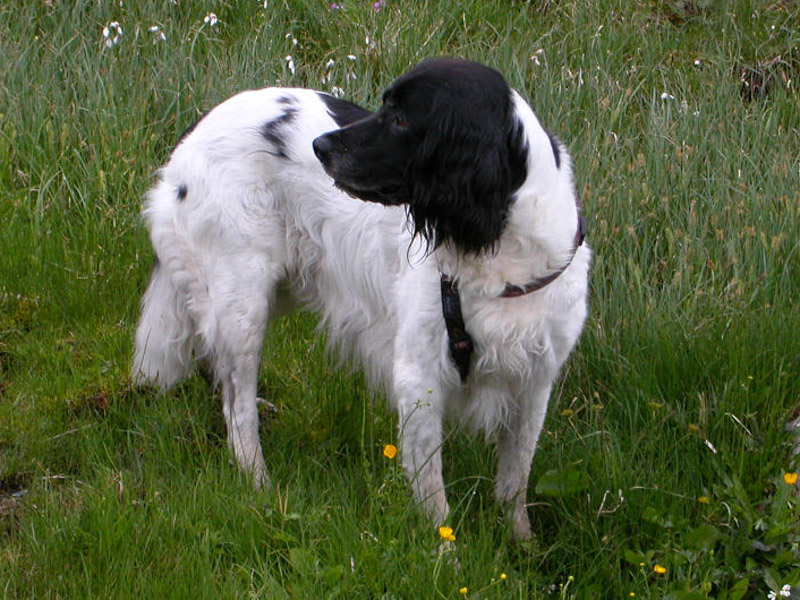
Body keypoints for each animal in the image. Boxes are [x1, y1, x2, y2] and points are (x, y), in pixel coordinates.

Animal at [134, 59, 592, 540]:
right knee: (237, 408)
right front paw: (444, 553)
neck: (501, 252)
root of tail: (190, 138)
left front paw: (521, 545)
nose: (319, 146)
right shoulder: (419, 378)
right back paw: (258, 482)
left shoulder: (535, 381)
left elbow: (515, 480)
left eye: (401, 119)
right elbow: (434, 493)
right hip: (243, 300)